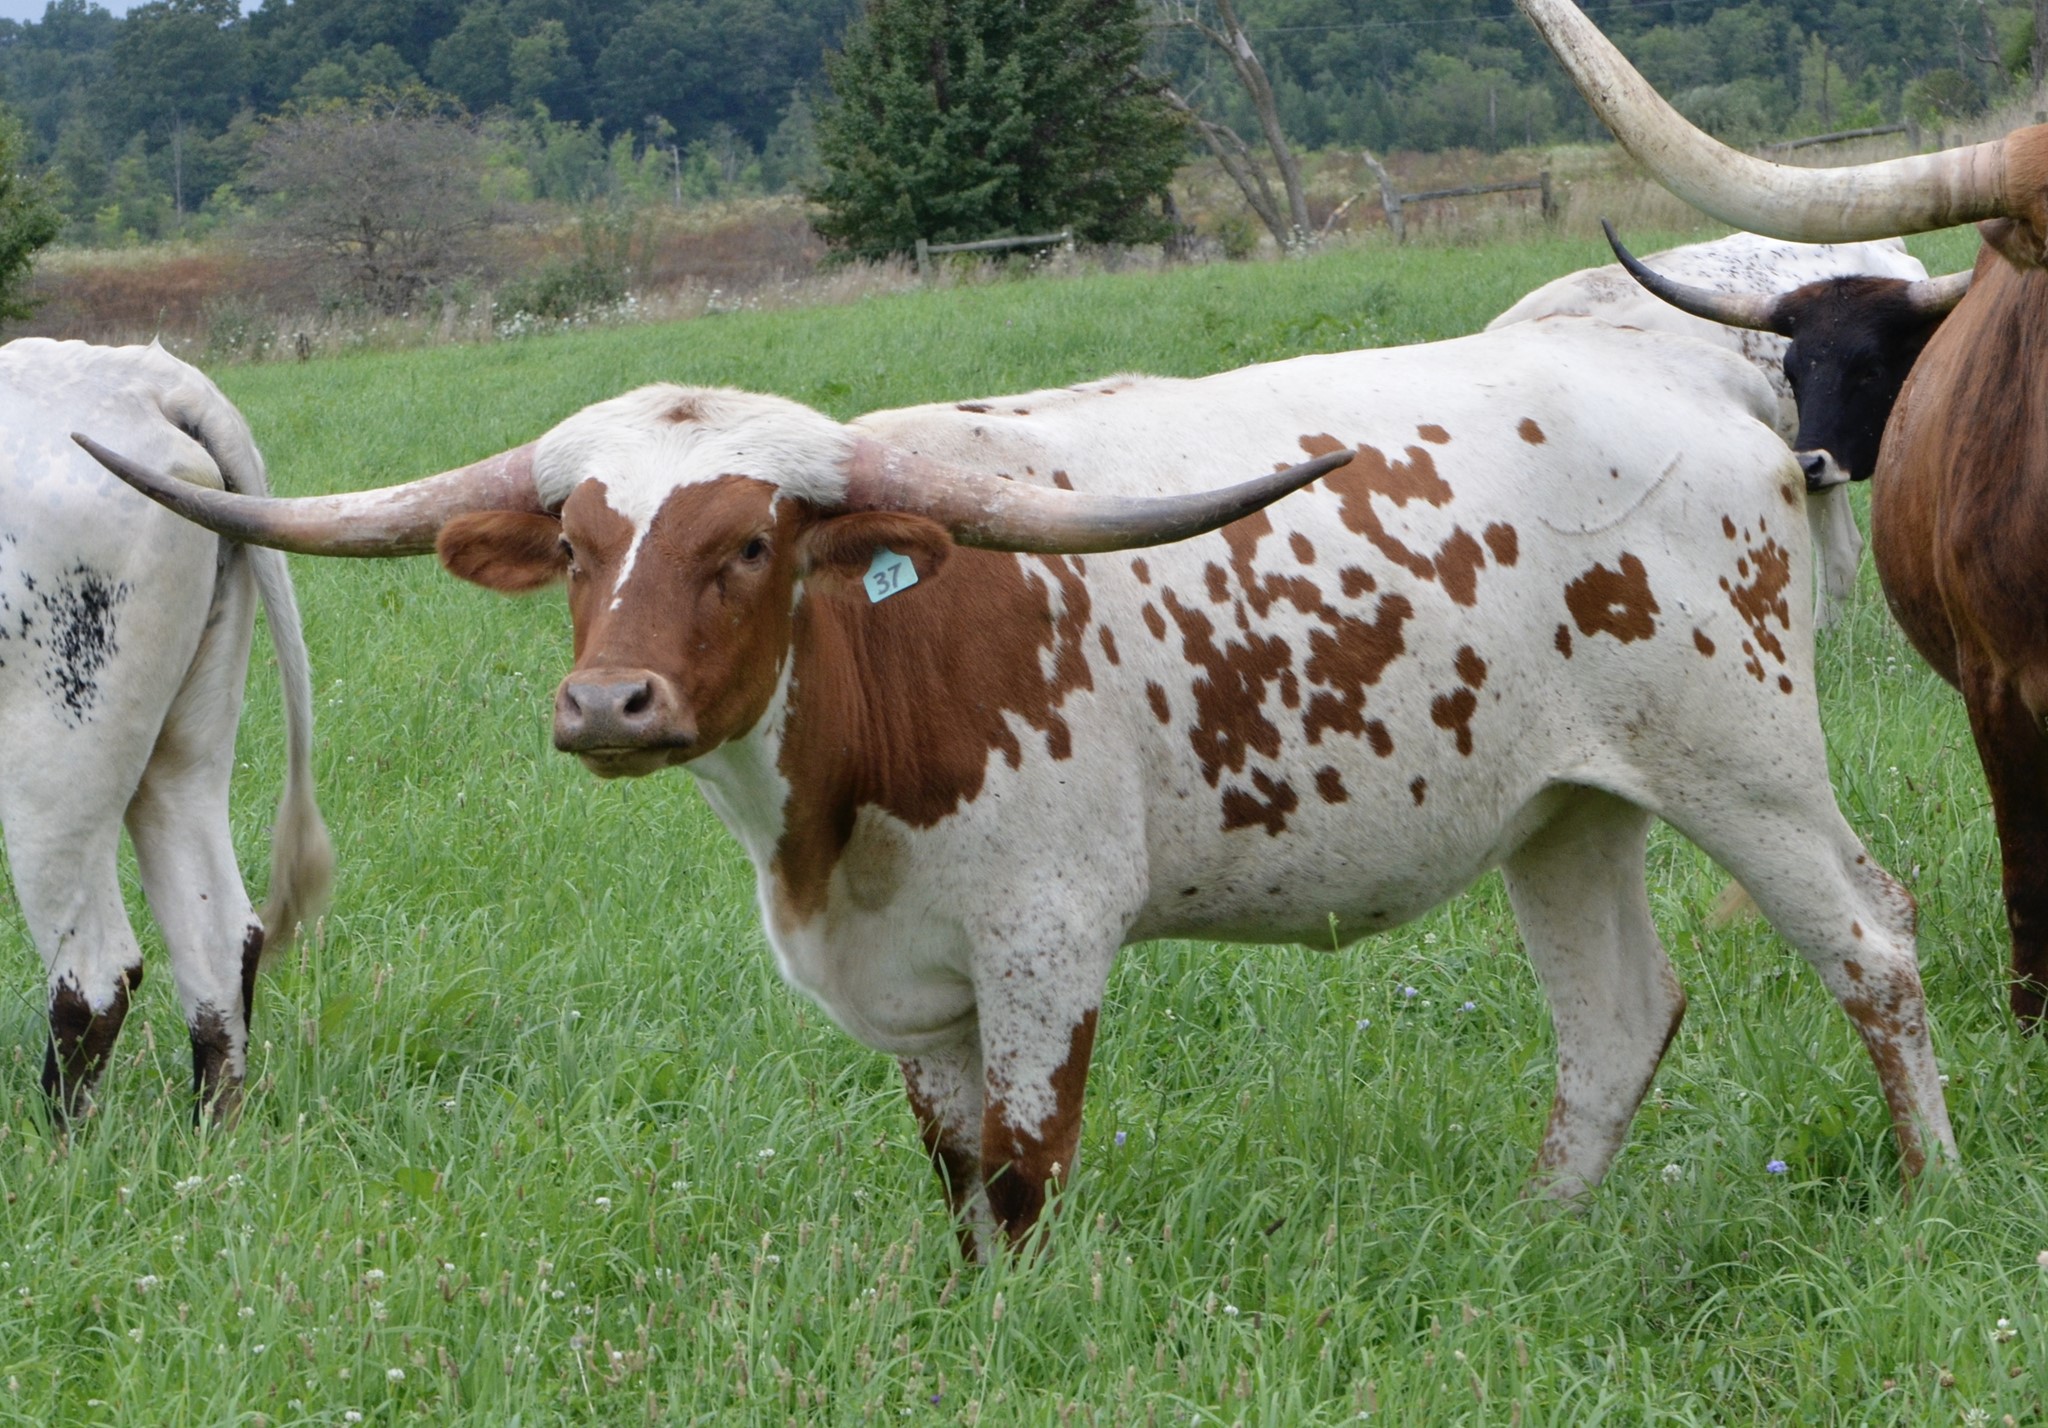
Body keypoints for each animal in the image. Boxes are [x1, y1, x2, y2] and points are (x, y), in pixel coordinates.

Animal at [1, 339, 332, 1123]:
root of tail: (155, 382)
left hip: (54, 756)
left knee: (93, 977)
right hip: (182, 749)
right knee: (220, 939)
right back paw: (215, 1132)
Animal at [79, 317, 1951, 1253]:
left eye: (746, 542)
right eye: (582, 546)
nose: (607, 701)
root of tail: (1706, 391)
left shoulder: (1049, 939)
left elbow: (1030, 1163)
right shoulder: (914, 986)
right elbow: (957, 1169)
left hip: (1743, 758)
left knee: (1870, 941)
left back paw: (1928, 1187)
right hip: (1564, 806)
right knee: (1615, 1016)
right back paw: (1531, 1237)